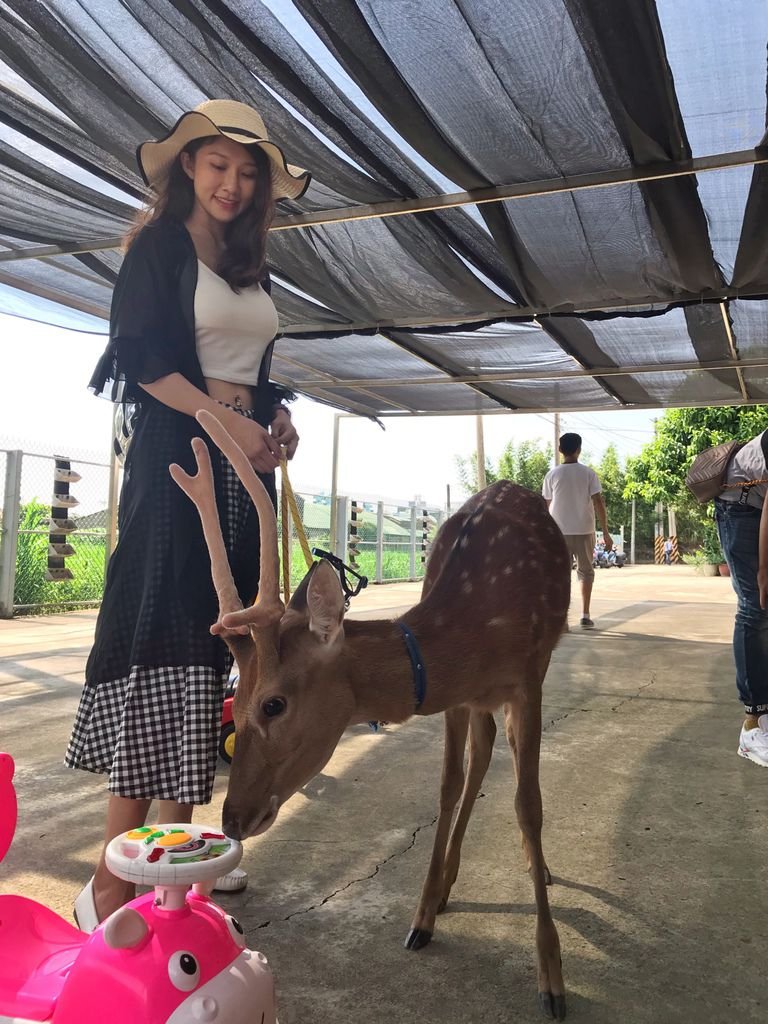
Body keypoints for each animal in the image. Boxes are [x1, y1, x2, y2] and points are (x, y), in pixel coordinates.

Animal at [173, 411, 573, 1019]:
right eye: (234, 705)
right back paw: (451, 883)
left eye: (273, 704)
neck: (475, 632)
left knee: (507, 761)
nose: (232, 820)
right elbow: (447, 786)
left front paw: (552, 976)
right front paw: (423, 916)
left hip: (539, 665)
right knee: (480, 756)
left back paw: (539, 870)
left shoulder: (527, 678)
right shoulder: (458, 697)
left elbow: (529, 805)